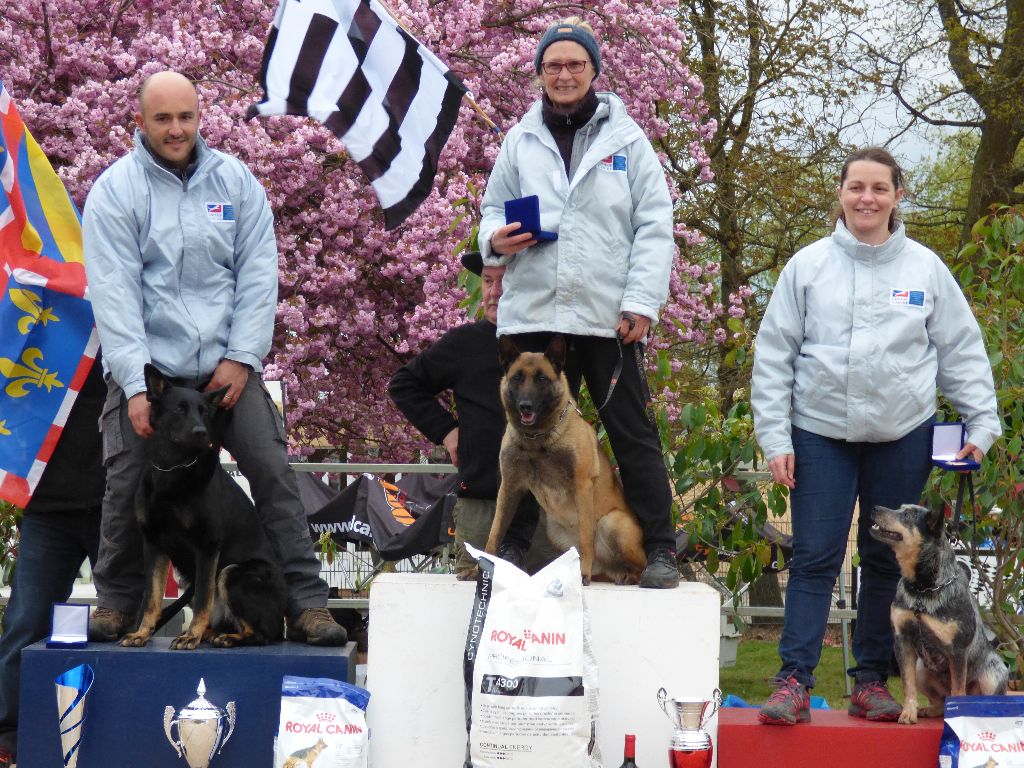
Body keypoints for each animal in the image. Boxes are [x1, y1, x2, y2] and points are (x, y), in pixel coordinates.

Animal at [119, 364, 288, 651]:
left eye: (205, 412)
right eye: (179, 409)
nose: (201, 433)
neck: (173, 469)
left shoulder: (208, 547)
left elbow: (202, 599)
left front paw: (191, 636)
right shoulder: (154, 545)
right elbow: (152, 598)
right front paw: (142, 632)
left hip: (233, 573)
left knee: (260, 634)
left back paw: (225, 637)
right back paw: (211, 633)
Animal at [483, 335, 643, 581]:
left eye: (542, 379)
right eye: (517, 378)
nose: (525, 406)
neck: (537, 439)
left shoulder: (582, 486)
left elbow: (586, 539)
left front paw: (583, 572)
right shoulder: (509, 487)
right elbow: (495, 532)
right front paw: (480, 570)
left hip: (612, 522)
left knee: (638, 566)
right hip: (555, 531)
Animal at [872, 501, 1007, 724]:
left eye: (907, 515)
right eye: (899, 508)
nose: (875, 508)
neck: (922, 590)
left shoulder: (957, 649)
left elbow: (958, 689)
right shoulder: (902, 641)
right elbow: (908, 685)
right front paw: (908, 713)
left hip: (993, 675)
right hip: (921, 668)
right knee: (939, 701)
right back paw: (929, 710)